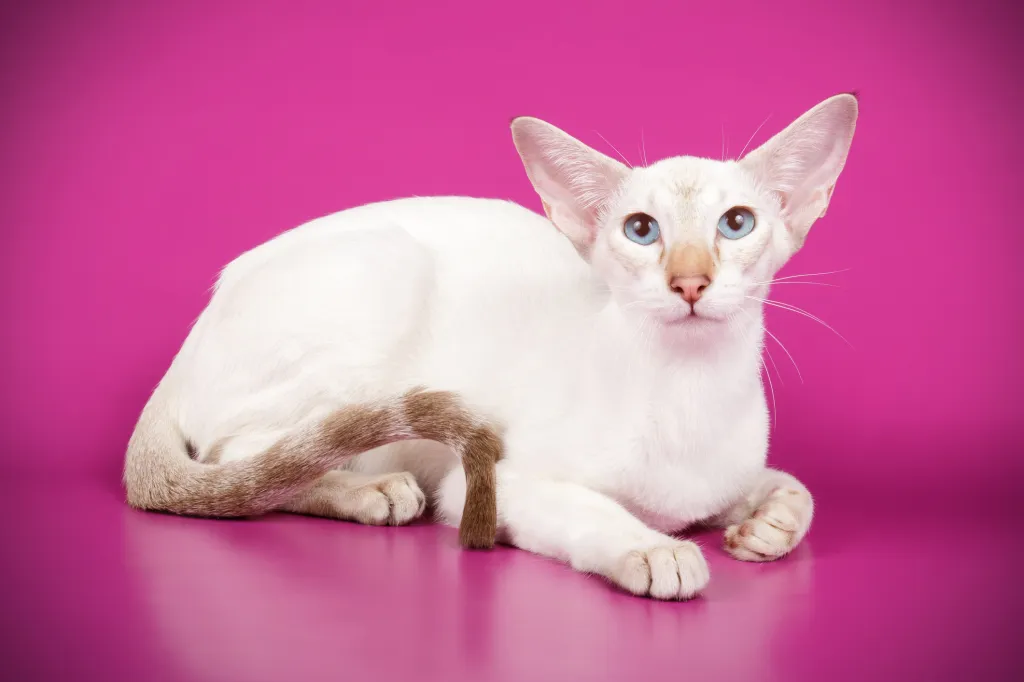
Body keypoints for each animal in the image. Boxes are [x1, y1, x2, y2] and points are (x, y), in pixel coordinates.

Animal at [125, 93, 856, 598]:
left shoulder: (726, 473)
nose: (690, 281)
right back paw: (372, 490)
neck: (689, 388)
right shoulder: (491, 483)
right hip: (385, 274)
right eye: (641, 230)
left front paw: (767, 525)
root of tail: (201, 320)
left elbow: (795, 491)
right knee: (245, 458)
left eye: (736, 224)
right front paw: (656, 550)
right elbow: (591, 508)